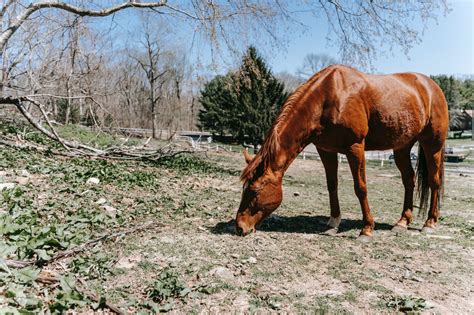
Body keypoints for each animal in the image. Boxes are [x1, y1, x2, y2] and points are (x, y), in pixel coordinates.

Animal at [237, 65, 448, 242]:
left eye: (255, 191)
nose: (239, 227)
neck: (329, 96)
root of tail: (432, 87)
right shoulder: (326, 150)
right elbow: (332, 185)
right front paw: (333, 222)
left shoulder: (355, 148)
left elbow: (360, 188)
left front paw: (366, 229)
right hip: (402, 147)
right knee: (409, 180)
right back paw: (403, 221)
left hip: (433, 145)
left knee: (434, 181)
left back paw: (429, 223)